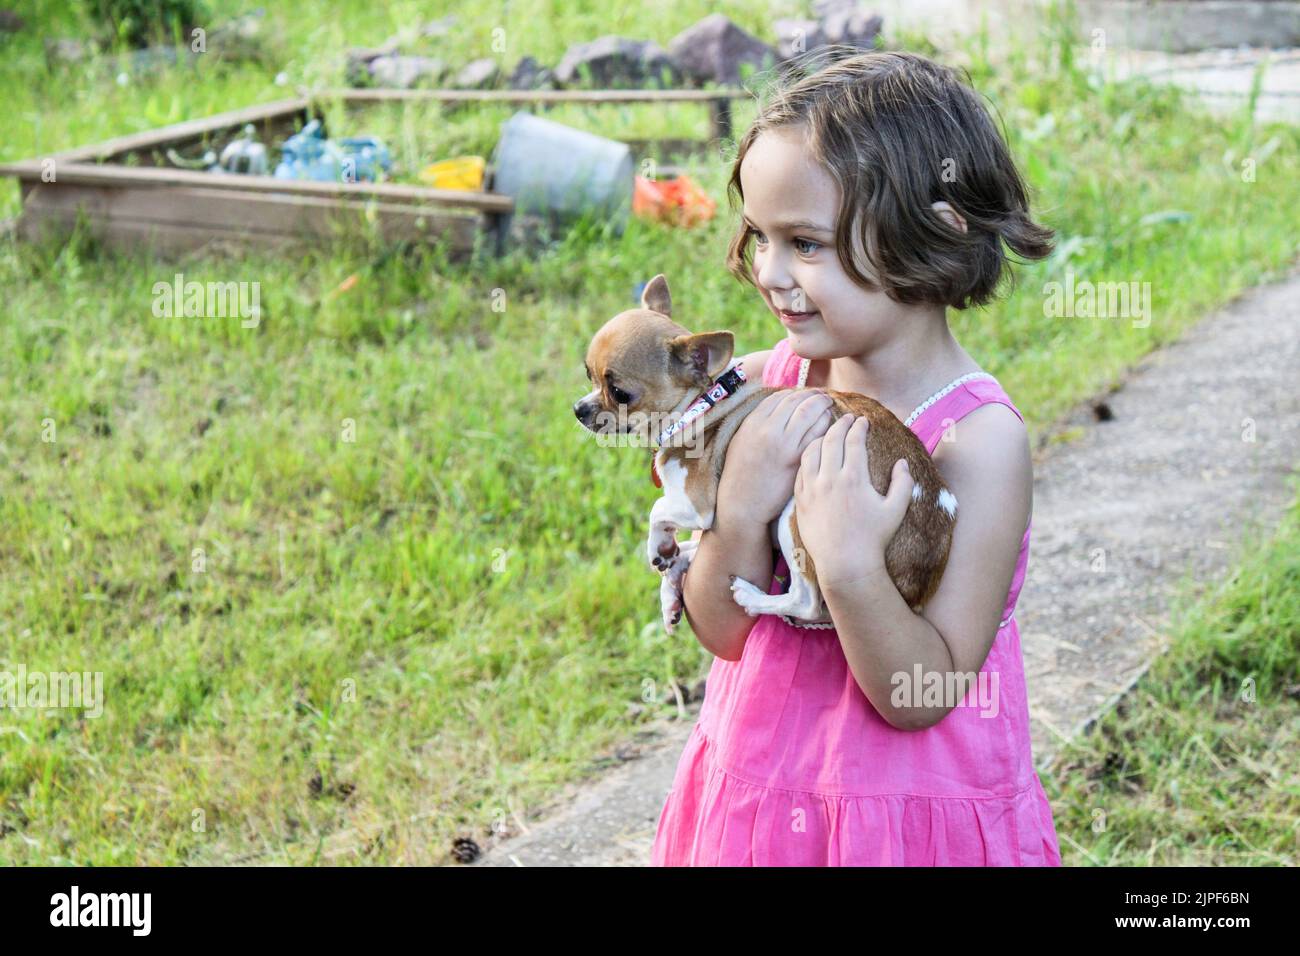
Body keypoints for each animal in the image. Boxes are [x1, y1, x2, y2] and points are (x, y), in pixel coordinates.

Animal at [574, 273, 961, 632]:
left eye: (620, 393)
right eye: (587, 373)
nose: (578, 409)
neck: (700, 405)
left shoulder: (698, 505)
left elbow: (657, 509)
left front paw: (658, 547)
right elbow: (682, 545)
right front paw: (669, 584)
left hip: (795, 515)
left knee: (807, 602)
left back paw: (752, 597)